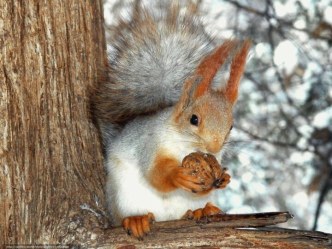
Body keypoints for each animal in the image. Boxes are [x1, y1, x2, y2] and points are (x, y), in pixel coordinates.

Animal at [91, 1, 249, 239]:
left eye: (231, 126)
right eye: (194, 119)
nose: (213, 148)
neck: (184, 144)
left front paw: (224, 177)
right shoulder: (150, 144)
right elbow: (155, 174)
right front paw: (178, 176)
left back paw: (202, 210)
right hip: (123, 197)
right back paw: (136, 219)